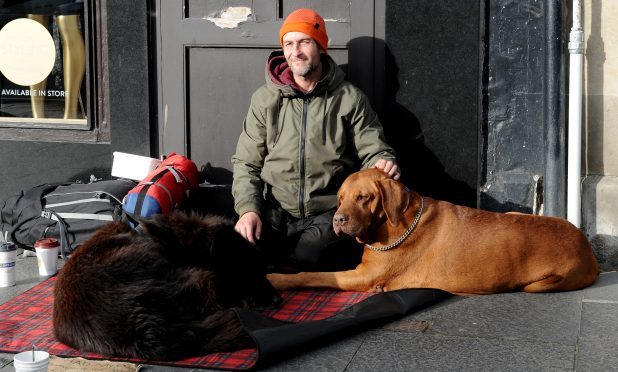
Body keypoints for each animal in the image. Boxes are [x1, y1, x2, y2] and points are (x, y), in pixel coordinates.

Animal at [268, 168, 600, 294]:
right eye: (339, 198)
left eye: (363, 197)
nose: (338, 219)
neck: (395, 223)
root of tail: (587, 248)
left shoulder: (364, 276)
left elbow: (316, 276)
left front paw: (276, 278)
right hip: (514, 212)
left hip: (544, 283)